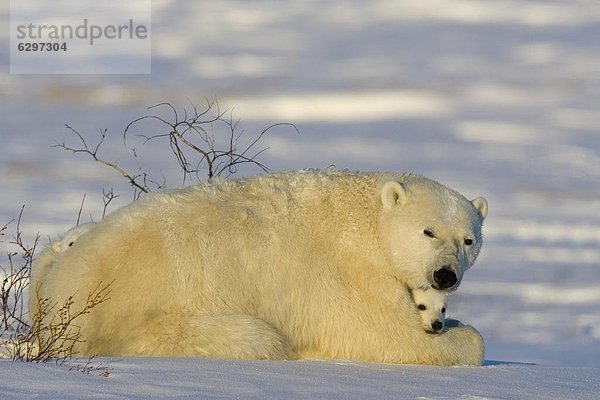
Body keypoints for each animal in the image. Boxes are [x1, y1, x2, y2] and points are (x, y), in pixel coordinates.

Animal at [31, 169, 488, 366]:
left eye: (468, 240)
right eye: (428, 231)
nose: (445, 275)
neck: (369, 219)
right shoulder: (351, 273)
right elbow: (387, 336)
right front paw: (459, 336)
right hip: (152, 316)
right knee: (257, 337)